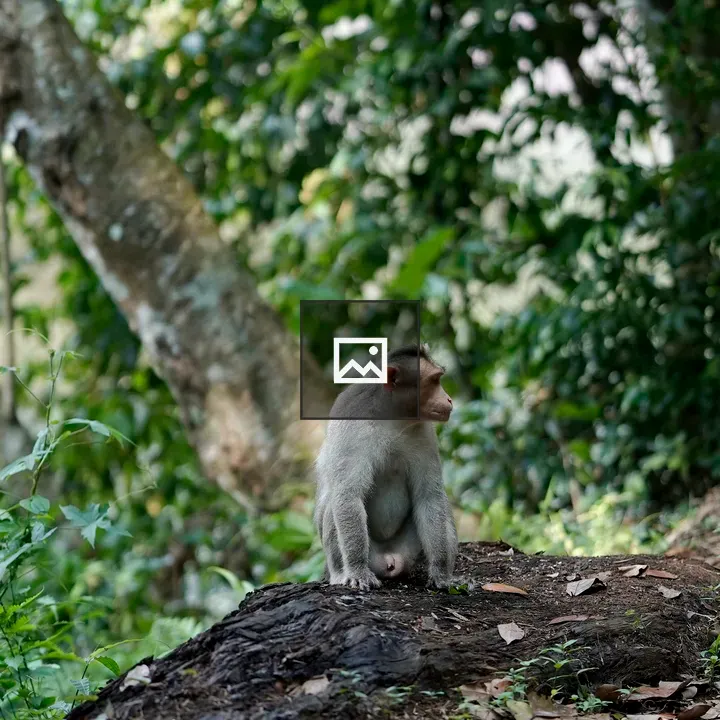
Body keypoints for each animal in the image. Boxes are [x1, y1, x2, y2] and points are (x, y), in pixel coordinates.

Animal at [314, 344, 458, 590]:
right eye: (434, 381)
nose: (448, 399)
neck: (392, 417)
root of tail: (389, 557)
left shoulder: (424, 432)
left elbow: (429, 497)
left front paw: (441, 573)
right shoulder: (351, 426)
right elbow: (348, 494)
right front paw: (358, 570)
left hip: (407, 549)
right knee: (336, 502)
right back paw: (343, 573)